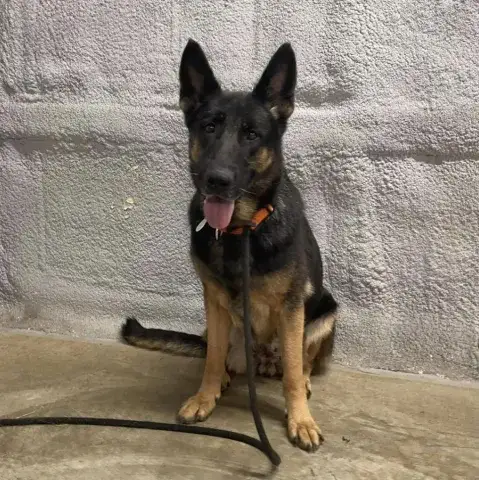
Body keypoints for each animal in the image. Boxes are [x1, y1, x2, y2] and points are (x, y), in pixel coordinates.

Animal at [122, 39, 338, 452]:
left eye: (252, 135)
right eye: (209, 128)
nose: (217, 180)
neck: (242, 231)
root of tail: (261, 359)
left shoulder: (292, 308)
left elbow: (292, 370)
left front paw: (300, 420)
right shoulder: (215, 301)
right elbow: (211, 358)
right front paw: (205, 397)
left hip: (325, 312)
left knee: (300, 361)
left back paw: (301, 380)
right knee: (218, 352)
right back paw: (225, 377)